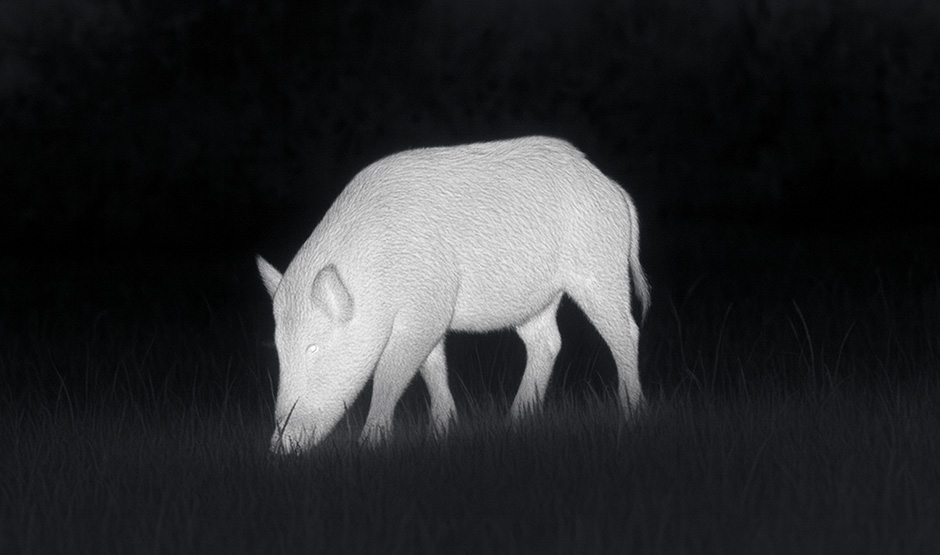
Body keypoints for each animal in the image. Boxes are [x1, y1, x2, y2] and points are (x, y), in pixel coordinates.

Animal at [258, 136, 650, 453]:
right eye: (278, 348)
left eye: (312, 348)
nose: (278, 448)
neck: (377, 273)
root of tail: (613, 188)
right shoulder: (429, 315)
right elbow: (432, 368)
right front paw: (440, 433)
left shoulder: (426, 307)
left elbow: (391, 372)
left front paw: (369, 444)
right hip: (536, 299)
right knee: (547, 342)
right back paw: (514, 423)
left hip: (598, 268)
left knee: (625, 331)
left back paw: (631, 413)